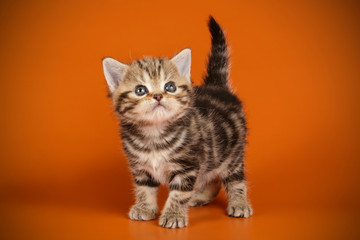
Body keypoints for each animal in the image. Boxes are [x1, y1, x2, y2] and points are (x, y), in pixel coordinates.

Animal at [101, 15, 253, 228]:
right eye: (140, 90)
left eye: (170, 87)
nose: (158, 96)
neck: (154, 134)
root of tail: (217, 86)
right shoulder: (140, 167)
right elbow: (144, 188)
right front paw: (144, 208)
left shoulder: (188, 165)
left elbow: (179, 193)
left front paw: (173, 215)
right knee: (211, 175)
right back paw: (201, 196)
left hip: (232, 153)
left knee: (234, 178)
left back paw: (239, 203)